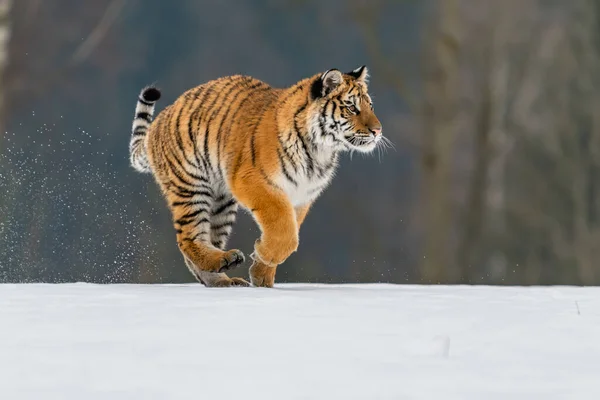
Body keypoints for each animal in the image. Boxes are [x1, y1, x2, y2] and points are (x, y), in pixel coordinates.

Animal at [130, 67, 384, 288]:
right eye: (351, 107)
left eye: (370, 106)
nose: (378, 131)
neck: (320, 151)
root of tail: (160, 120)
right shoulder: (255, 180)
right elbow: (285, 231)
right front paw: (263, 255)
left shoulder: (302, 196)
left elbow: (289, 229)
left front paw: (262, 276)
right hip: (192, 186)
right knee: (188, 239)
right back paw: (222, 262)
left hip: (221, 202)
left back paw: (223, 278)